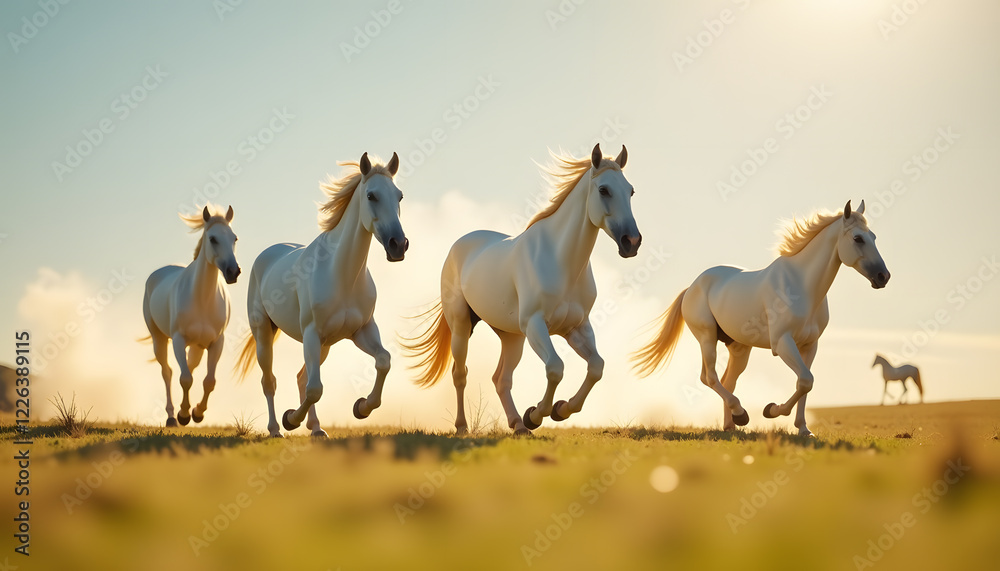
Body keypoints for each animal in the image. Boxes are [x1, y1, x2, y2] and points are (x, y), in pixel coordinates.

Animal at [142, 205, 241, 427]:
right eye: (212, 238)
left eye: (234, 238)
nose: (233, 272)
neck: (202, 300)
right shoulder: (179, 340)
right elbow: (185, 378)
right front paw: (184, 415)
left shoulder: (216, 343)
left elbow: (209, 381)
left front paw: (197, 412)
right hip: (159, 339)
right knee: (168, 372)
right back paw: (172, 416)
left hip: (197, 346)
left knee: (190, 367)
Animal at [235, 152, 407, 438]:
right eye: (371, 195)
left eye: (399, 196)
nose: (398, 245)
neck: (343, 275)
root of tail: (268, 254)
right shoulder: (312, 334)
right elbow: (315, 389)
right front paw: (290, 420)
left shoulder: (361, 331)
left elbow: (384, 361)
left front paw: (362, 407)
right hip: (265, 334)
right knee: (270, 381)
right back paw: (276, 429)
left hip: (324, 345)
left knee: (302, 377)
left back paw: (316, 428)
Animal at [402, 144, 641, 435]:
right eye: (604, 190)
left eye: (630, 190)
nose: (632, 242)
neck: (561, 262)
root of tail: (460, 245)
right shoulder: (535, 325)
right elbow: (555, 368)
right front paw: (536, 414)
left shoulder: (576, 327)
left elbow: (596, 367)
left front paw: (560, 409)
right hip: (461, 326)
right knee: (460, 374)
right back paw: (464, 427)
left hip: (512, 337)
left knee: (501, 379)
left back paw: (517, 424)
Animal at [633, 200, 890, 436]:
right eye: (858, 238)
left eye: (874, 237)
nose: (883, 276)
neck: (802, 287)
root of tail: (692, 287)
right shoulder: (782, 343)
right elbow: (805, 380)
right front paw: (771, 410)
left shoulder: (810, 345)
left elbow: (806, 383)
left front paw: (803, 429)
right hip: (707, 338)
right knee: (710, 377)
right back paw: (741, 414)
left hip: (740, 348)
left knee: (727, 380)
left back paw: (730, 426)